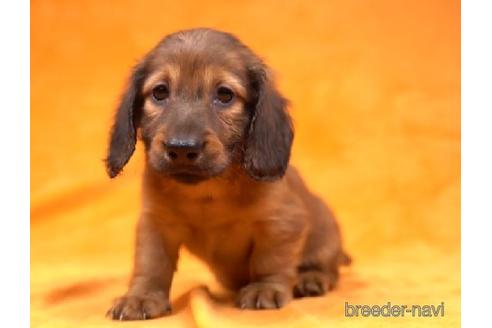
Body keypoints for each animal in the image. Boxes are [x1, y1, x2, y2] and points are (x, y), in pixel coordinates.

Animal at [105, 28, 350, 320]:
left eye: (224, 95)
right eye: (160, 92)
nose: (182, 148)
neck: (208, 193)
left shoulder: (282, 223)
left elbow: (270, 260)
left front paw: (265, 288)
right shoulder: (155, 224)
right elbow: (151, 264)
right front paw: (141, 297)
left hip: (325, 236)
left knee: (327, 268)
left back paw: (311, 278)